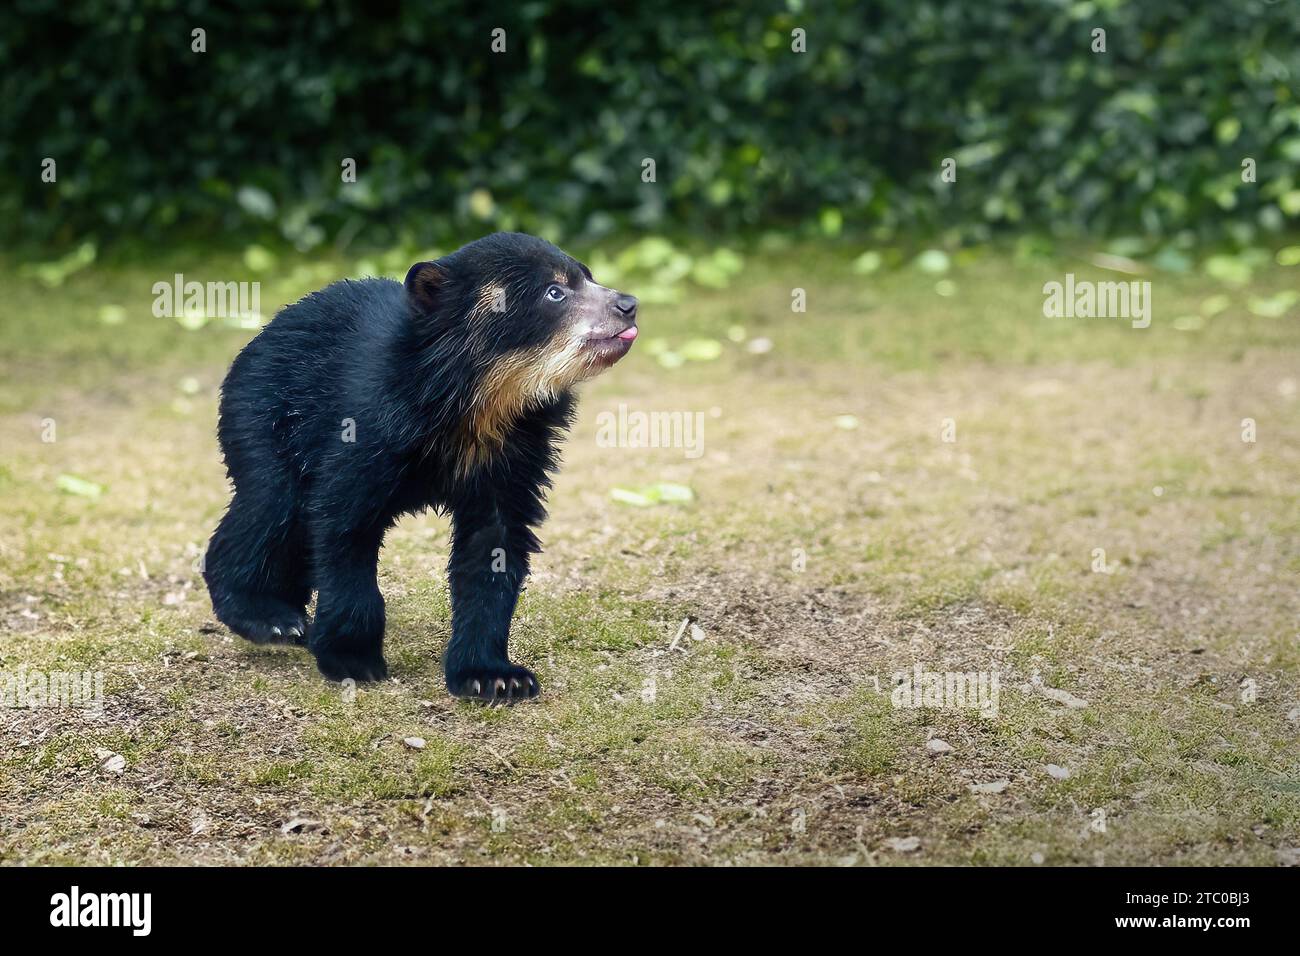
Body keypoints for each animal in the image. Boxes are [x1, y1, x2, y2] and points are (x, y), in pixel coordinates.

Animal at [202, 232, 638, 701]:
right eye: (555, 292)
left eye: (588, 275)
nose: (629, 303)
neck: (479, 402)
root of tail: (260, 335)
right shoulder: (367, 428)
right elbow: (343, 523)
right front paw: (352, 658)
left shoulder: (515, 456)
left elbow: (494, 546)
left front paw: (495, 677)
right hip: (266, 419)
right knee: (270, 509)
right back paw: (270, 618)